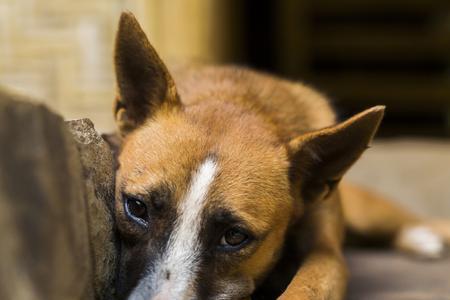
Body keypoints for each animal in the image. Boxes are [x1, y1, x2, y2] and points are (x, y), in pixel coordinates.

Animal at [111, 12, 450, 300]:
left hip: (369, 213)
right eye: (137, 207)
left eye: (234, 236)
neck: (241, 101)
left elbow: (306, 288)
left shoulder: (327, 257)